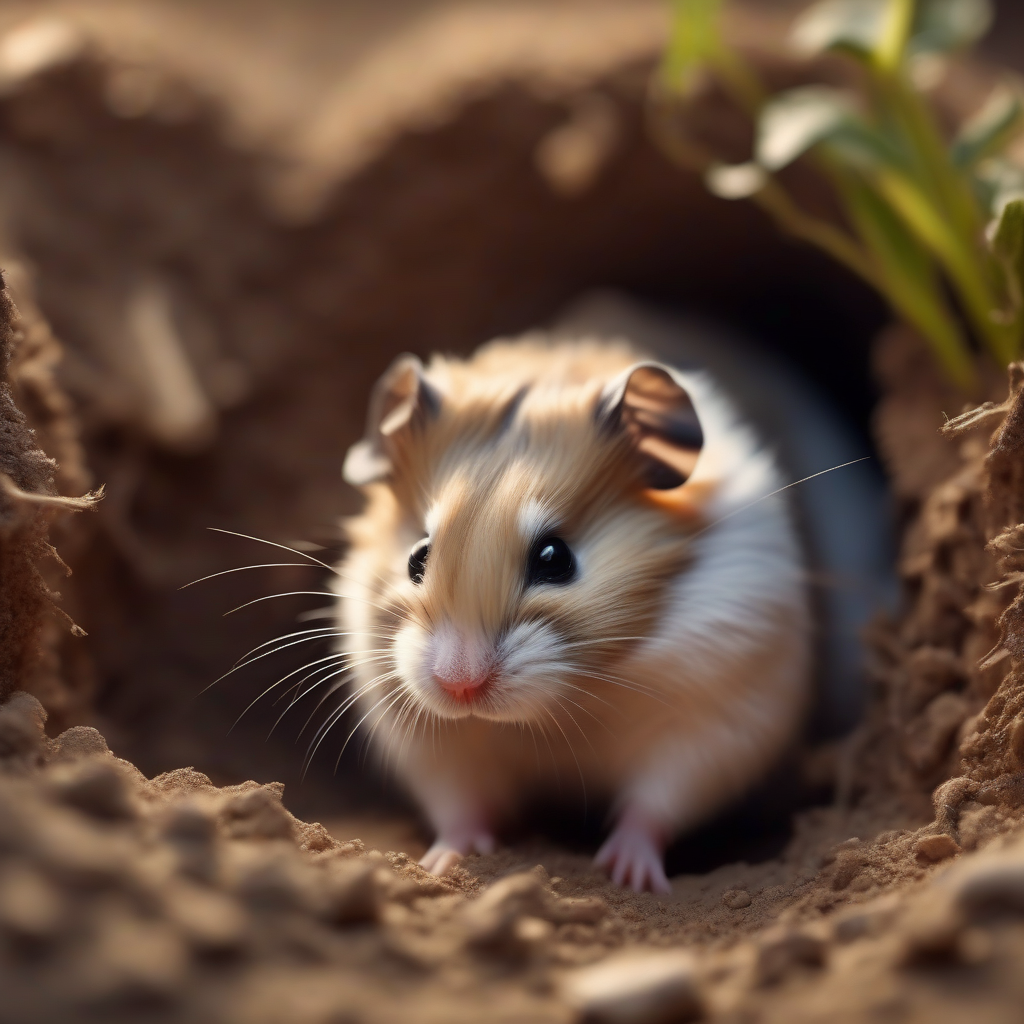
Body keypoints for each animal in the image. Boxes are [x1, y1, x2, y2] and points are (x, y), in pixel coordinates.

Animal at [334, 327, 813, 894]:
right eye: (417, 556)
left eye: (554, 558)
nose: (460, 687)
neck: (558, 713)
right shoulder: (430, 744)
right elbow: (460, 805)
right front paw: (445, 862)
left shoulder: (713, 719)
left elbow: (653, 807)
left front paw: (629, 876)